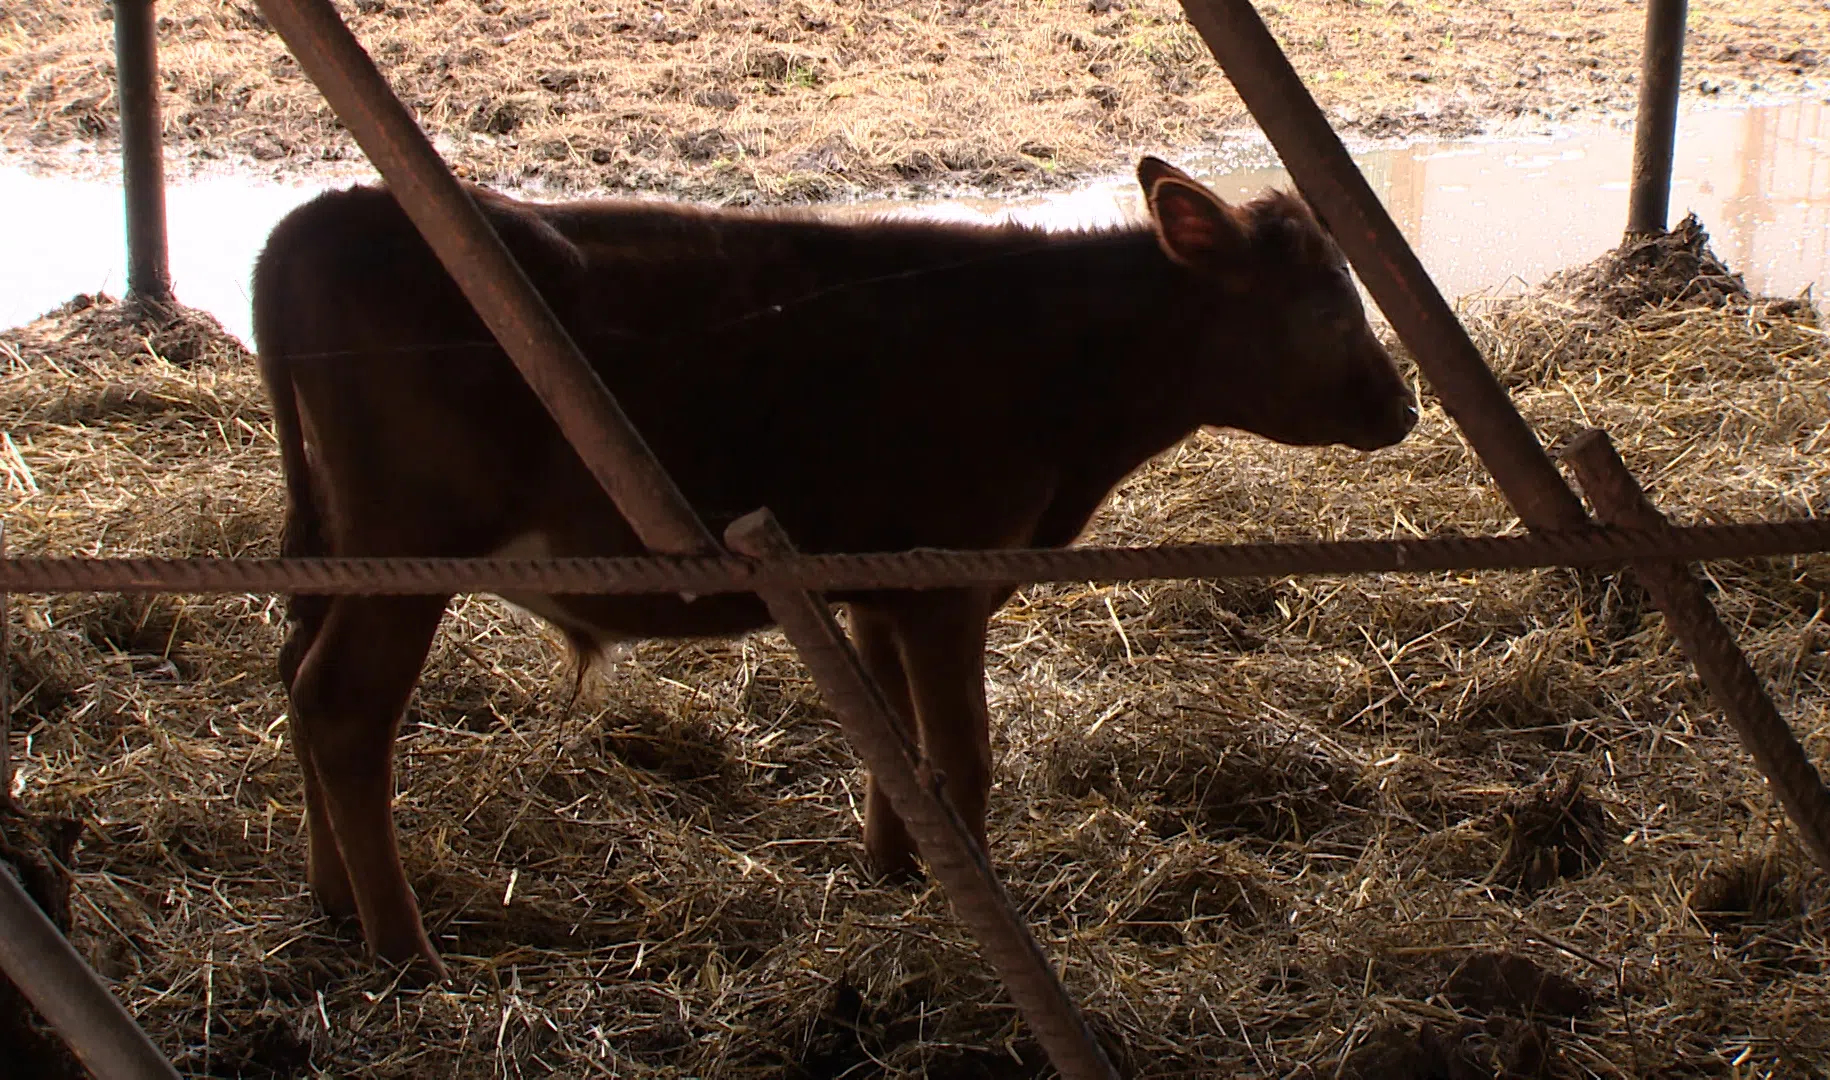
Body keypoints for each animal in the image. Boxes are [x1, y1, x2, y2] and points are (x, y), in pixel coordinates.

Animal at [250, 161, 1412, 981]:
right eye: (1328, 311)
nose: (1402, 407)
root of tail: (333, 210)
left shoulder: (876, 592)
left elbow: (897, 747)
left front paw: (897, 877)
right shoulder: (945, 582)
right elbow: (962, 760)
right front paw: (974, 908)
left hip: (338, 539)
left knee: (296, 679)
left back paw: (332, 897)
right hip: (412, 543)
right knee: (343, 704)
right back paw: (405, 950)